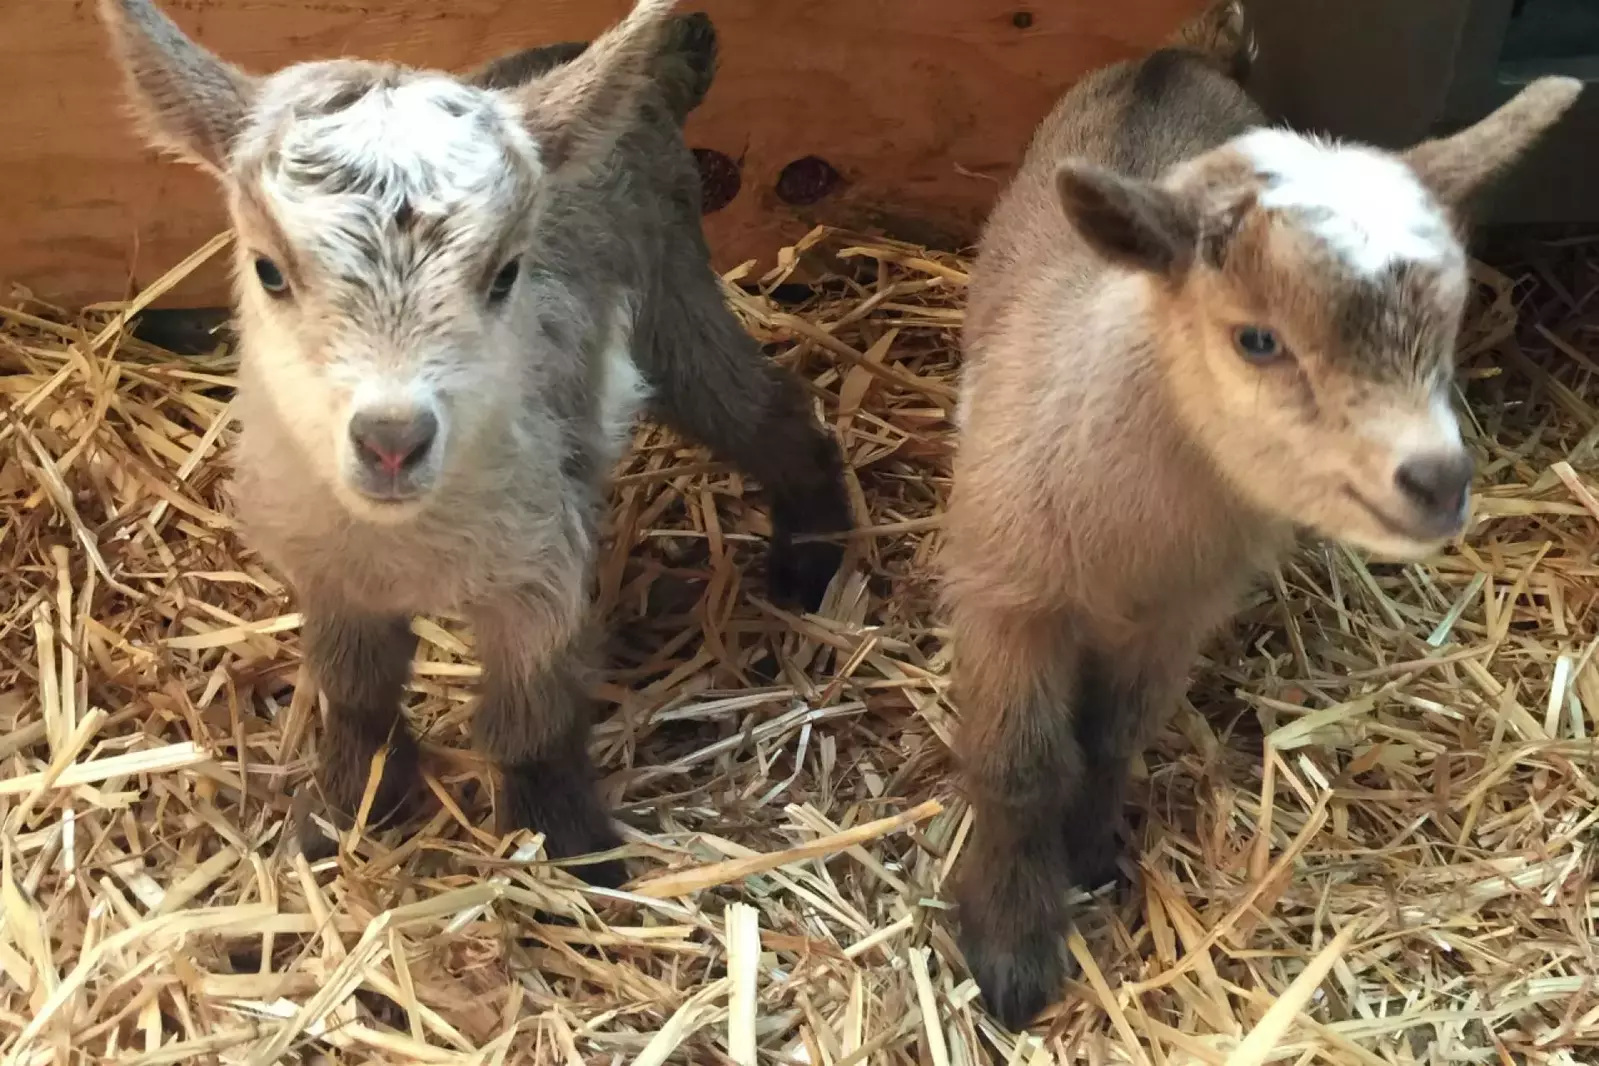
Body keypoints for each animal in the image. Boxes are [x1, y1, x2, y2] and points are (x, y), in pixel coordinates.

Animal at [98, 0, 853, 888]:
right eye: (268, 271)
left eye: (505, 275)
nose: (392, 440)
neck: (408, 543)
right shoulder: (330, 573)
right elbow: (356, 699)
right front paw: (343, 816)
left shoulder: (538, 571)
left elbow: (529, 720)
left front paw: (569, 855)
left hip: (673, 291)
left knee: (764, 408)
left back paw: (812, 561)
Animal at [944, 1, 1581, 1028]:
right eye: (1255, 339)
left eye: (1445, 324)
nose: (1438, 481)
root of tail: (1176, 55)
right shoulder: (1004, 598)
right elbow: (1019, 768)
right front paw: (1010, 949)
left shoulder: (1174, 618)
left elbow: (1110, 738)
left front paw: (1090, 853)